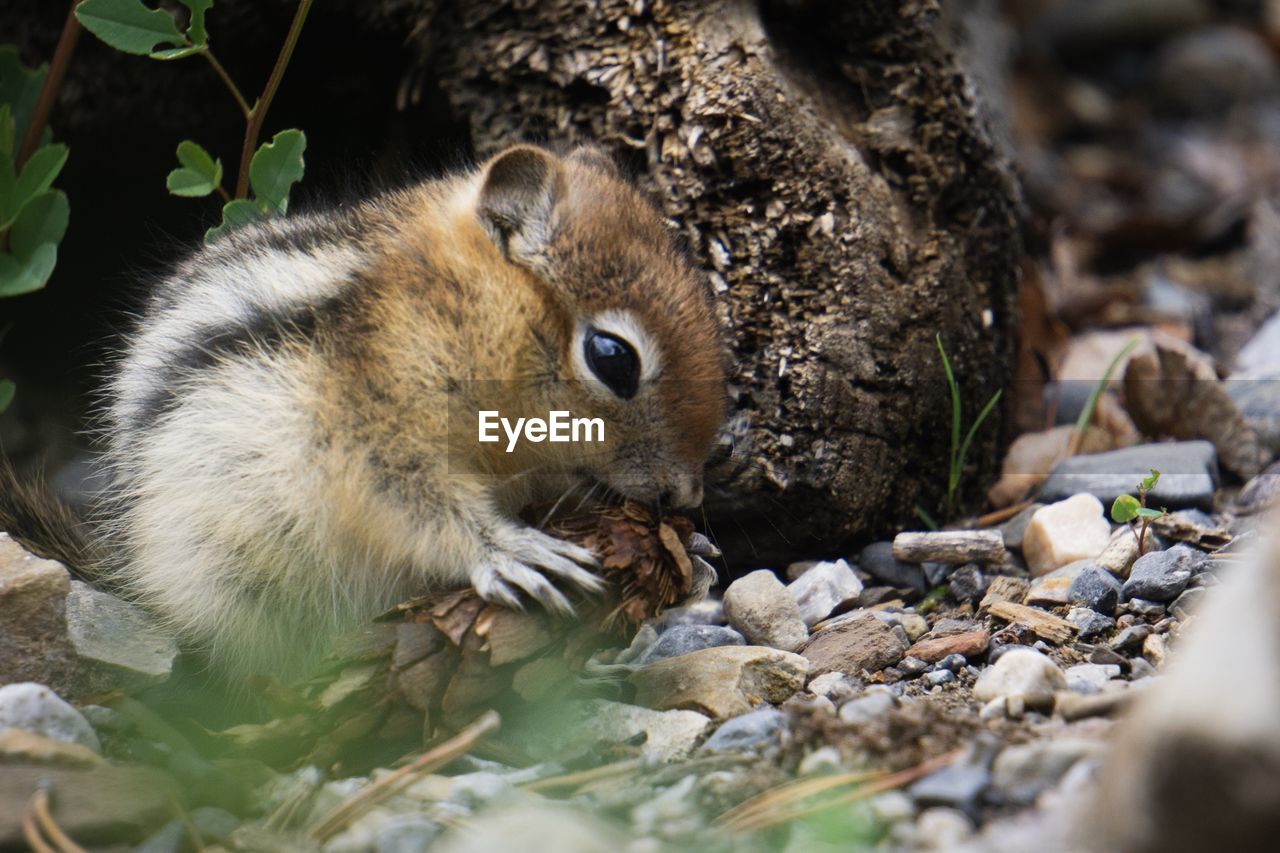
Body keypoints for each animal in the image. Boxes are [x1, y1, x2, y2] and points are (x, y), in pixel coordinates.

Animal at [0, 146, 732, 676]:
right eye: (613, 357)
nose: (688, 494)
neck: (451, 310)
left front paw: (692, 548)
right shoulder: (371, 438)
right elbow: (418, 510)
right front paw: (511, 550)